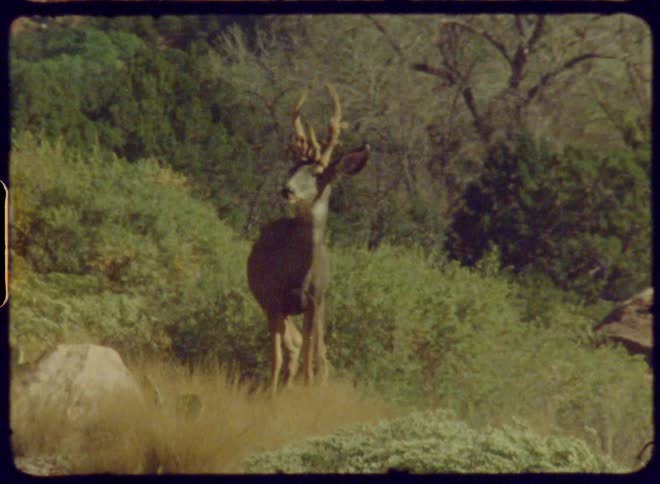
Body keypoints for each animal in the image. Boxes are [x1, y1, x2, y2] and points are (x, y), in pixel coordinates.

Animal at [247, 83, 370, 395]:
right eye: (292, 169)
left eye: (317, 173)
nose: (286, 189)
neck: (297, 273)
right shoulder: (273, 297)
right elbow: (279, 355)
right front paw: (271, 393)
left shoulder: (315, 300)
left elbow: (308, 358)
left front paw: (305, 388)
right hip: (268, 301)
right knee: (291, 345)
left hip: (320, 305)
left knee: (314, 351)